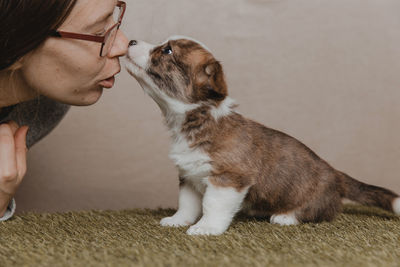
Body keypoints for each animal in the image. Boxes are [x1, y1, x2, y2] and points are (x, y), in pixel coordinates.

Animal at [126, 36, 400, 237]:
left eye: (168, 50)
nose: (130, 41)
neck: (197, 119)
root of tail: (336, 173)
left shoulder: (228, 179)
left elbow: (211, 205)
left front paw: (206, 228)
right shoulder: (189, 176)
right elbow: (187, 204)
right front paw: (177, 221)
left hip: (312, 200)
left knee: (318, 213)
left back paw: (285, 216)